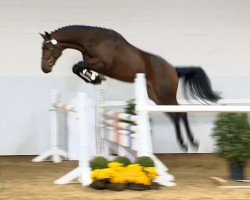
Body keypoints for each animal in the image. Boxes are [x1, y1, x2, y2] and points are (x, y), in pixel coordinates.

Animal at [39, 26, 221, 152]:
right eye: (42, 48)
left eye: (47, 48)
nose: (44, 69)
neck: (93, 40)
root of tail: (173, 69)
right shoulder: (92, 63)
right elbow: (77, 68)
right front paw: (95, 79)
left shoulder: (101, 63)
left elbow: (77, 66)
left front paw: (93, 79)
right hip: (157, 97)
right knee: (175, 116)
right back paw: (185, 143)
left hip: (166, 95)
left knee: (181, 113)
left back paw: (190, 142)